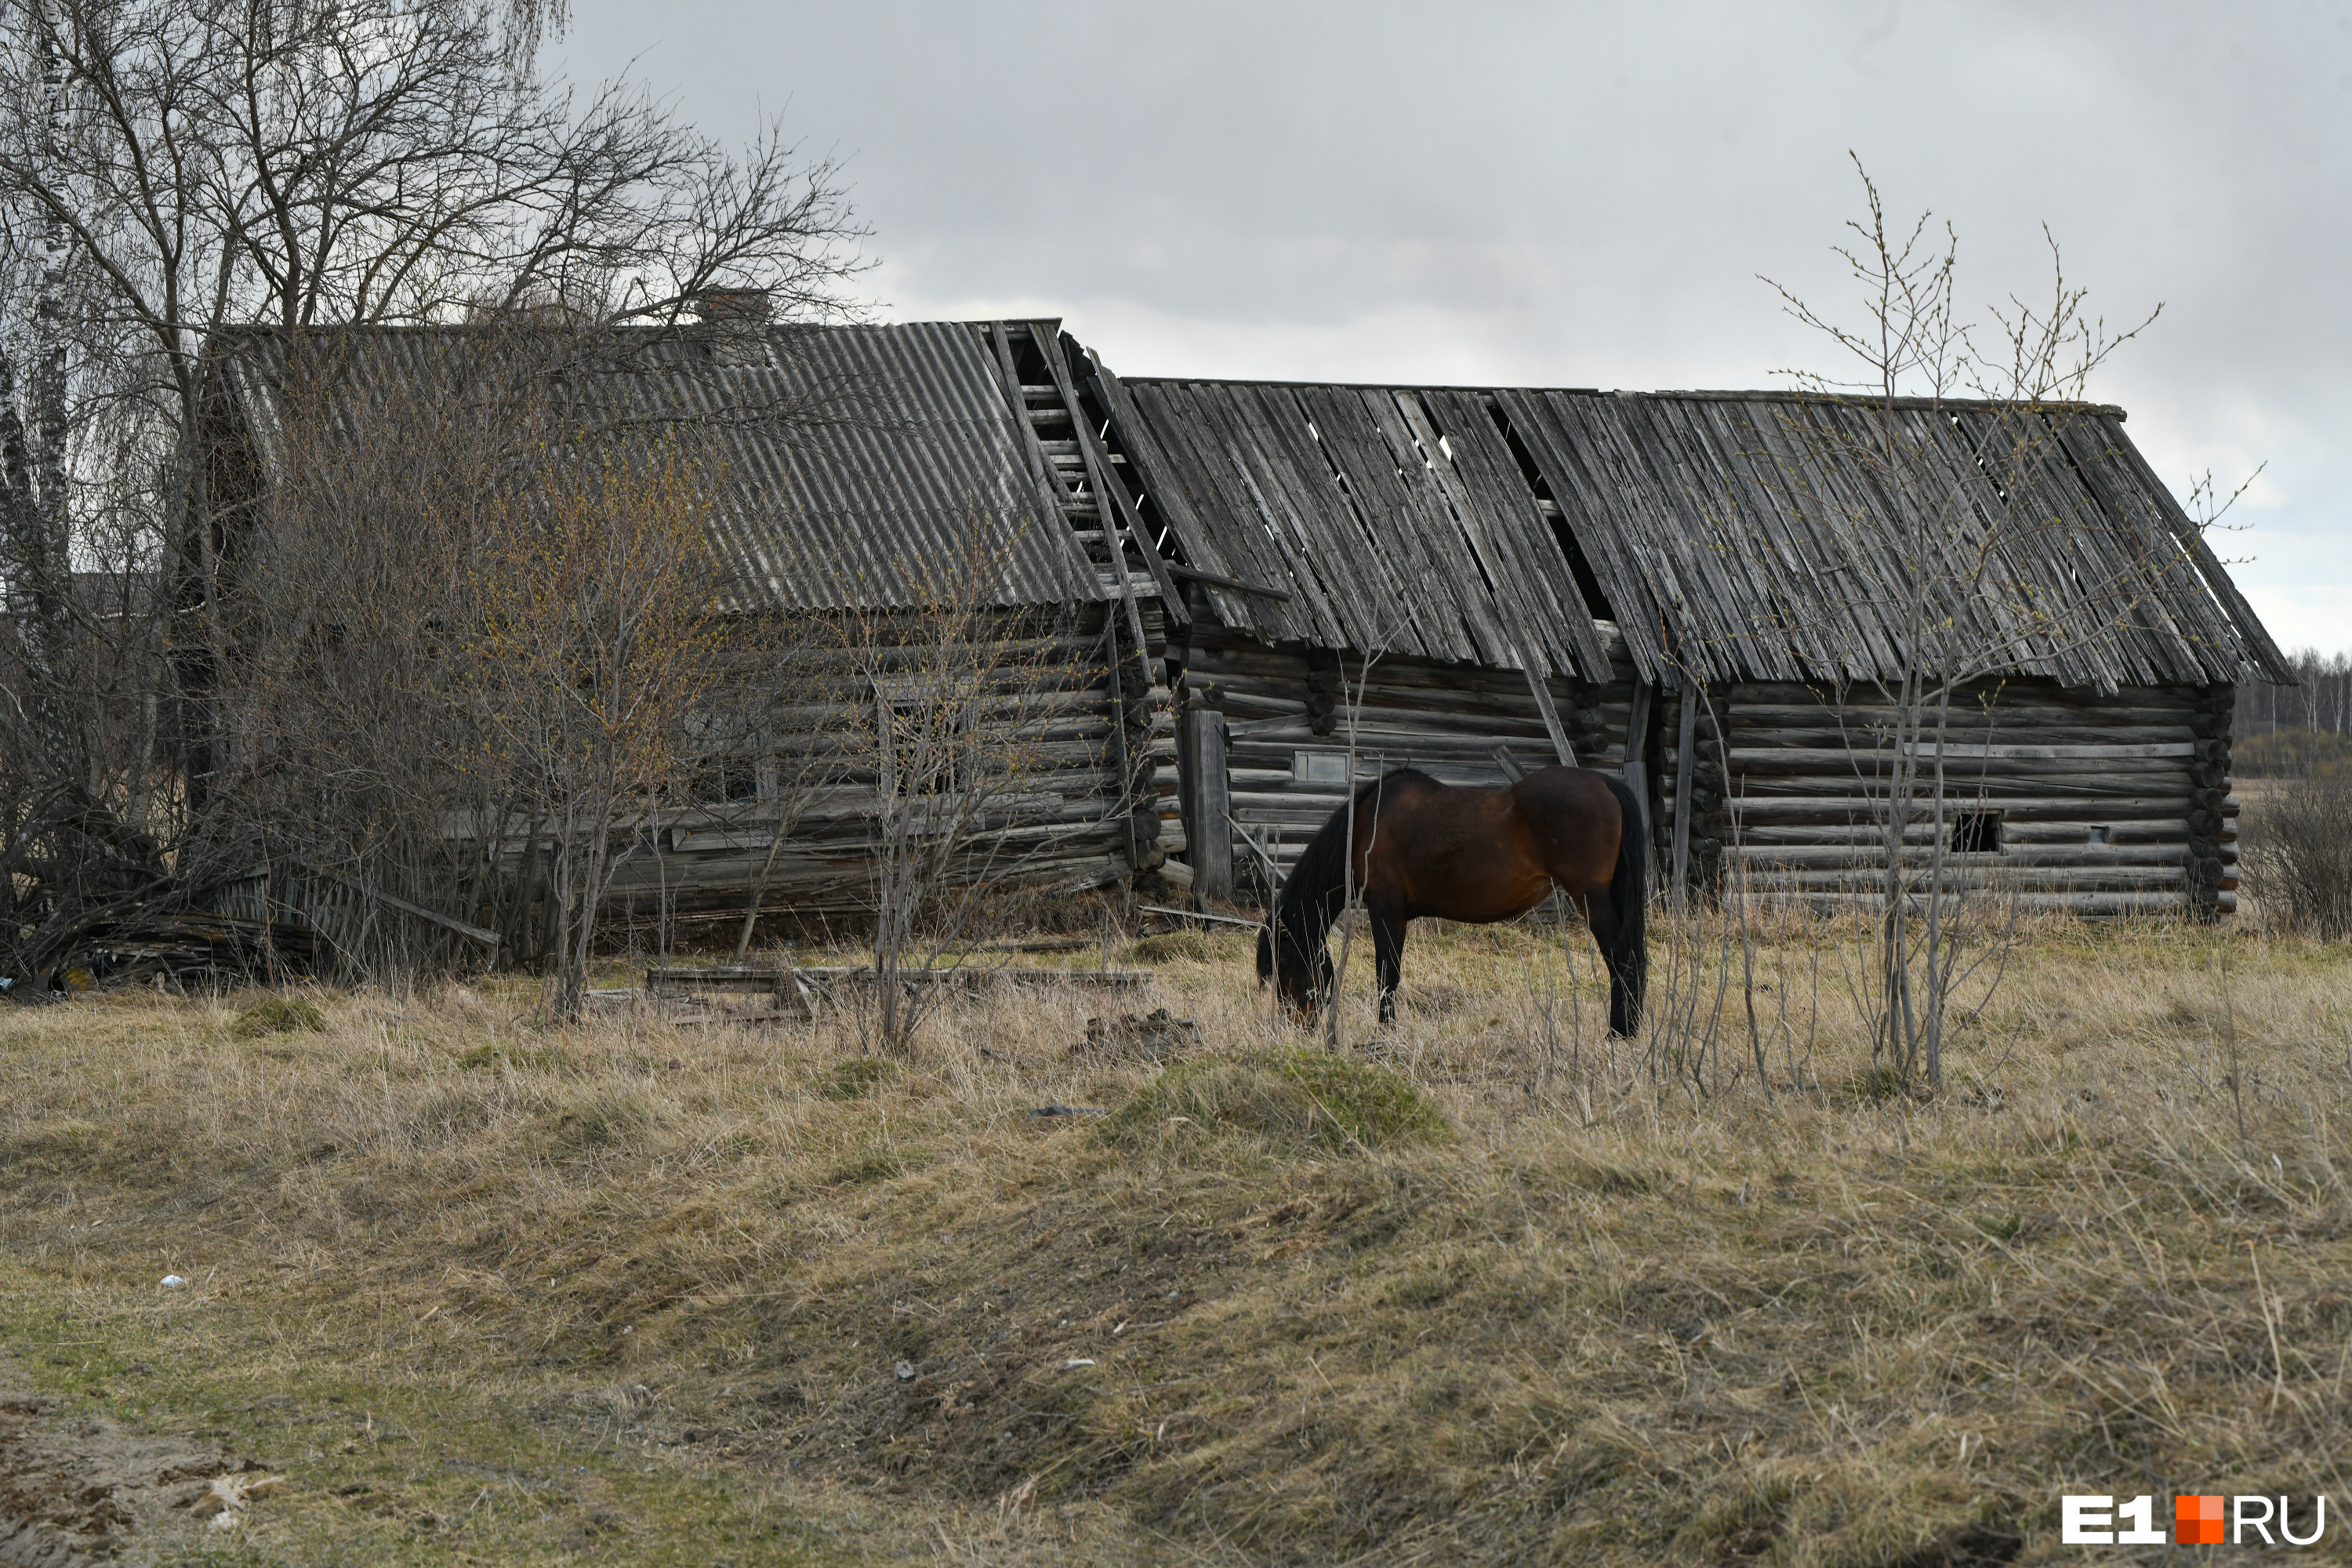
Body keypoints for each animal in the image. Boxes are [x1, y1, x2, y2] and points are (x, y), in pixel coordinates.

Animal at [1261, 766, 1646, 1034]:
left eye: (1284, 963)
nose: (1297, 1026)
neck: (1365, 828)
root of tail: (1604, 783)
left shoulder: (1385, 910)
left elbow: (1386, 975)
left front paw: (1385, 1032)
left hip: (1591, 898)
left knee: (1623, 960)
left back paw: (1619, 1033)